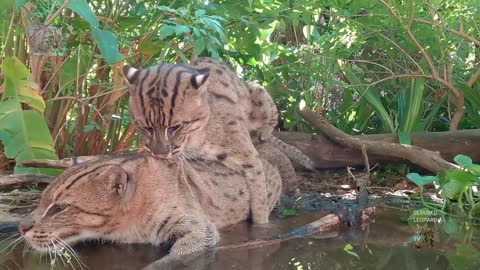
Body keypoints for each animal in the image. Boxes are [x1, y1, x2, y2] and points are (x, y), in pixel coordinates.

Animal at [124, 57, 280, 224]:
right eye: (145, 127)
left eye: (175, 127)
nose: (159, 154)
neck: (192, 139)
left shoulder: (250, 157)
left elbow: (260, 197)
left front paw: (261, 223)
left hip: (258, 94)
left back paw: (264, 131)